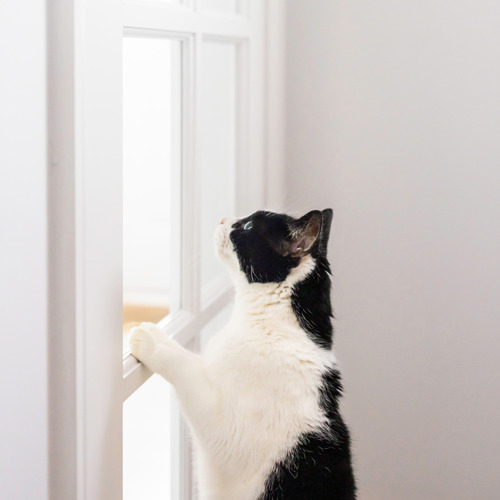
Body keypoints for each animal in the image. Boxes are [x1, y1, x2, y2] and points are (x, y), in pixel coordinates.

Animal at [129, 209, 356, 498]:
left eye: (248, 226)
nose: (223, 219)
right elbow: (194, 359)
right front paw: (159, 334)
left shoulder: (222, 426)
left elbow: (186, 368)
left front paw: (149, 340)